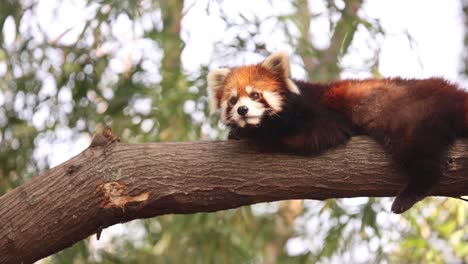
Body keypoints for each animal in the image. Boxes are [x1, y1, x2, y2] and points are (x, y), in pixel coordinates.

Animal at [208, 52, 468, 214]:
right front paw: (237, 132)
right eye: (233, 100)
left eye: (255, 95)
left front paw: (254, 135)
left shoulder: (323, 116)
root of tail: (452, 92)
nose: (242, 110)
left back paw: (408, 195)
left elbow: (312, 137)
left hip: (412, 118)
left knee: (424, 157)